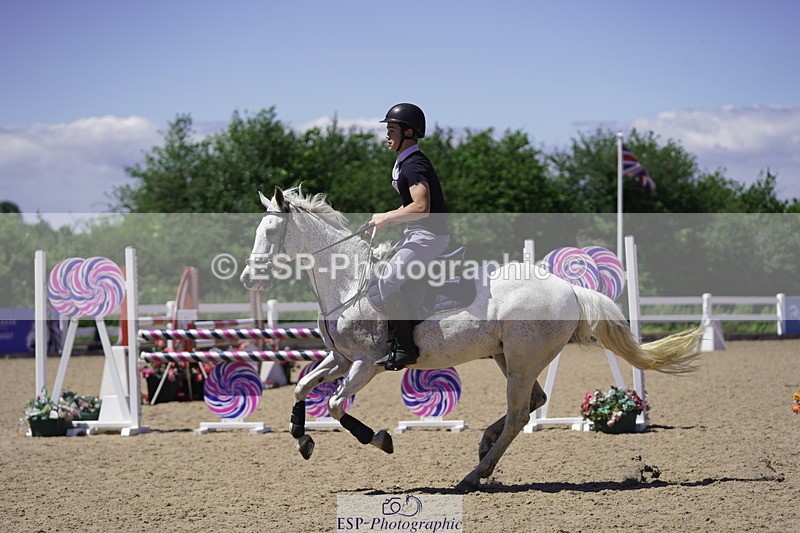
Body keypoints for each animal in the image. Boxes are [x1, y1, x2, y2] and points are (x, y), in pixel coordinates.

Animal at [239, 186, 702, 492]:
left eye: (272, 234)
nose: (247, 278)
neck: (349, 281)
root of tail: (569, 288)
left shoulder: (366, 364)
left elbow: (336, 405)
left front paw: (381, 440)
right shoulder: (339, 359)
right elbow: (301, 386)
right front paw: (302, 438)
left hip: (522, 360)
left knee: (519, 414)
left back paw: (473, 474)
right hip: (508, 359)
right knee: (530, 405)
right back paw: (483, 450)